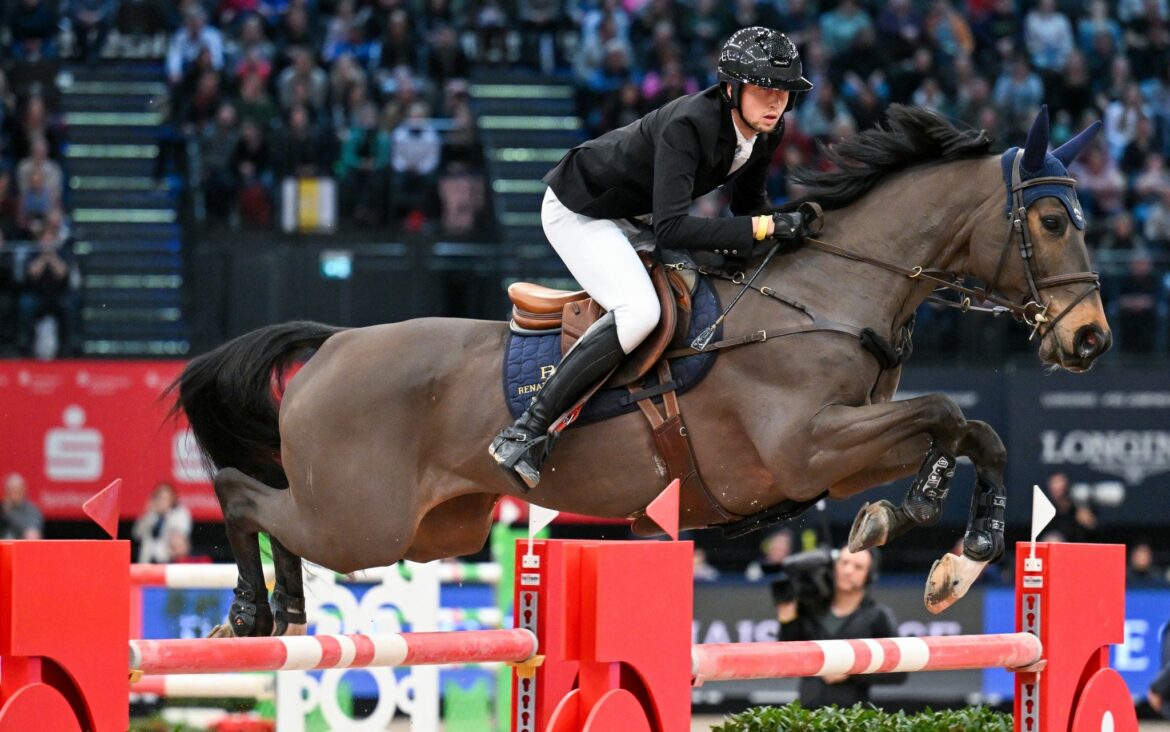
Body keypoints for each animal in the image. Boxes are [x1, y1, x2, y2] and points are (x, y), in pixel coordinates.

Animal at [169, 105, 1109, 636]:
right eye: (1053, 220)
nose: (1091, 340)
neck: (826, 291)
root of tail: (332, 345)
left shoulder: (839, 451)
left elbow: (975, 430)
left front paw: (954, 550)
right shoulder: (806, 447)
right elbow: (947, 412)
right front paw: (923, 525)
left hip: (434, 530)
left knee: (281, 516)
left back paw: (287, 613)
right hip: (363, 519)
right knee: (243, 494)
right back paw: (253, 612)